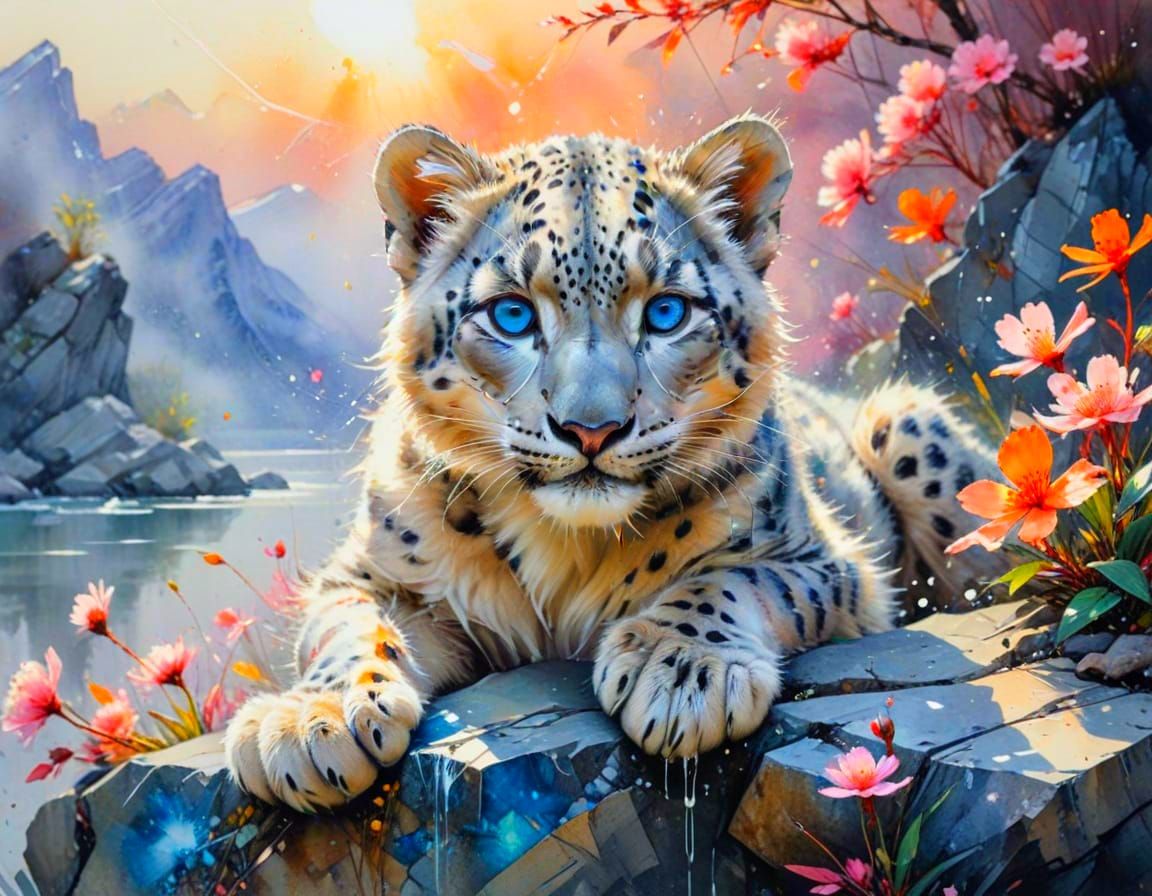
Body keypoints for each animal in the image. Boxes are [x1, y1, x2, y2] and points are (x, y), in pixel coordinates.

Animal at [223, 114, 1000, 812]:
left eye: (666, 312)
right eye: (511, 314)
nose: (590, 429)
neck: (565, 548)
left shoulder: (823, 560)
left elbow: (735, 578)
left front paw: (681, 671)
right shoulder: (373, 573)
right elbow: (346, 626)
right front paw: (308, 722)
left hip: (903, 423)